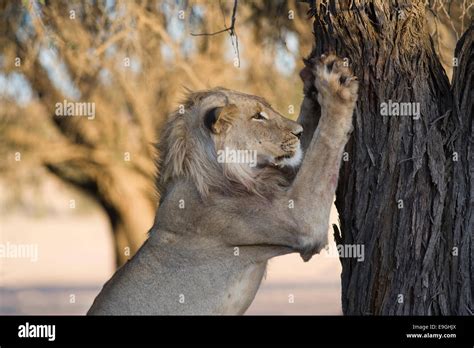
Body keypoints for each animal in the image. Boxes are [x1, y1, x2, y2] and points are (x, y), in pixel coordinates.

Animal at [89, 53, 358, 316]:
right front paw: (335, 86)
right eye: (258, 116)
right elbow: (324, 144)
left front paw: (313, 80)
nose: (298, 133)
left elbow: (311, 139)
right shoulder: (299, 221)